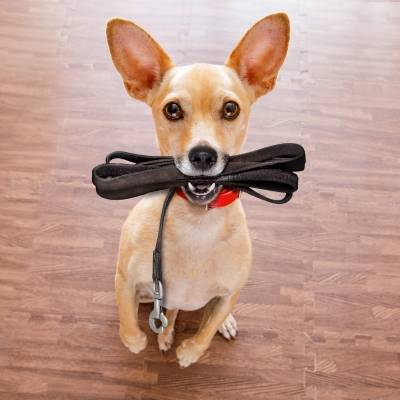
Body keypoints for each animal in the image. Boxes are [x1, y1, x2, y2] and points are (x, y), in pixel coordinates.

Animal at [104, 12, 290, 368]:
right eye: (172, 110)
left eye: (231, 109)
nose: (203, 155)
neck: (197, 222)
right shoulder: (125, 281)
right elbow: (127, 322)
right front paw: (137, 342)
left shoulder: (229, 294)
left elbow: (205, 333)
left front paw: (190, 352)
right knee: (170, 310)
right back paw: (164, 333)